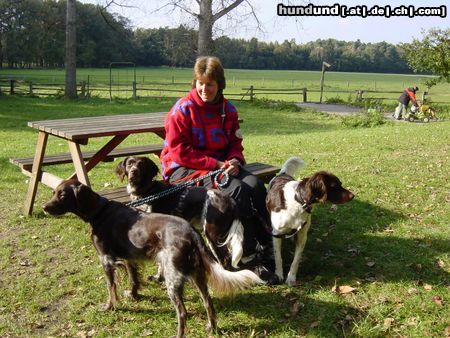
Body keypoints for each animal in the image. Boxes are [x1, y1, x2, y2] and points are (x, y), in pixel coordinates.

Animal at [42, 180, 264, 338]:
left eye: (62, 194)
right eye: (53, 193)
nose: (44, 207)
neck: (100, 211)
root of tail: (192, 233)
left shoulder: (106, 259)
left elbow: (111, 288)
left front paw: (110, 307)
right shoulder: (129, 258)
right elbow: (133, 278)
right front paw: (133, 295)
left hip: (173, 279)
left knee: (182, 312)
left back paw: (178, 335)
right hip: (197, 277)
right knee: (208, 303)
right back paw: (211, 327)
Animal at [266, 158, 354, 286]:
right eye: (335, 186)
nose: (353, 195)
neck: (299, 200)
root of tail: (283, 174)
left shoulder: (302, 235)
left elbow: (296, 260)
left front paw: (291, 277)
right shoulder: (276, 234)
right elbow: (278, 257)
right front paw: (278, 274)